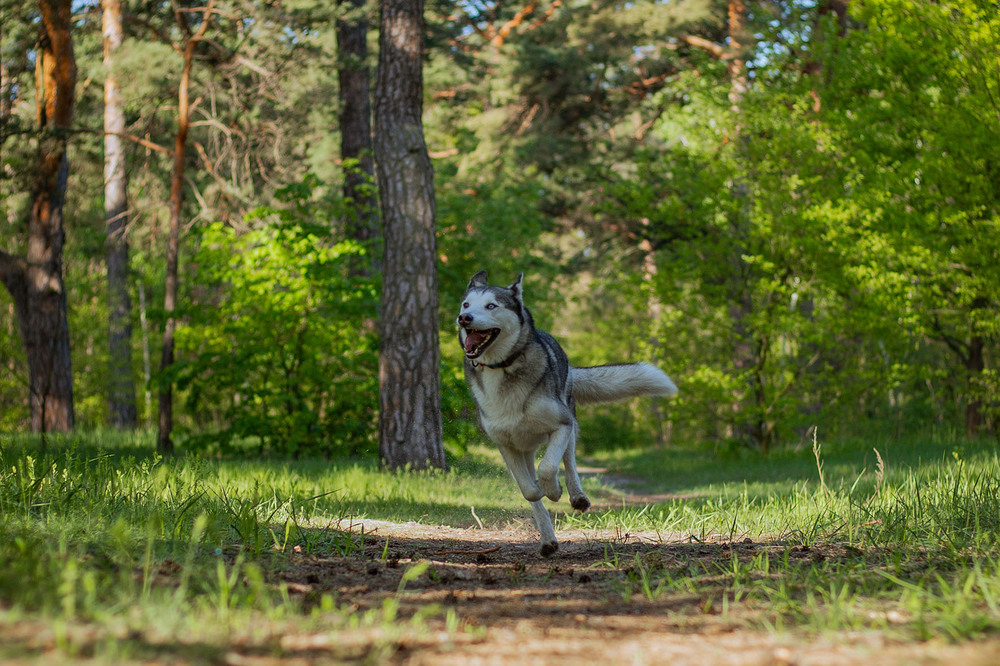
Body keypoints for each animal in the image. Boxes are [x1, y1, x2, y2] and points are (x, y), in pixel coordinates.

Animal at [458, 270, 680, 556]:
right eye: (466, 304)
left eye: (491, 306)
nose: (465, 318)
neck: (503, 367)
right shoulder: (505, 445)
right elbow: (529, 491)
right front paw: (542, 495)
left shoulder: (561, 425)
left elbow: (548, 467)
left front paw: (554, 491)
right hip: (524, 447)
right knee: (533, 484)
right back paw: (548, 540)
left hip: (570, 425)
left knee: (570, 462)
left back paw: (577, 497)